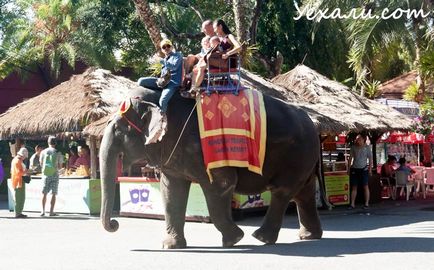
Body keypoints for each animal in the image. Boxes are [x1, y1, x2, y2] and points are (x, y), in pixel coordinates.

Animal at [100, 86, 324, 249]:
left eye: (118, 129)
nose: (115, 224)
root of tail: (314, 125)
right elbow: (171, 191)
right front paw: (170, 246)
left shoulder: (207, 148)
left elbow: (221, 185)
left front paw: (234, 239)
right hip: (304, 160)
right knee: (304, 193)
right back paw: (309, 236)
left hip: (296, 156)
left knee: (282, 191)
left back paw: (262, 238)